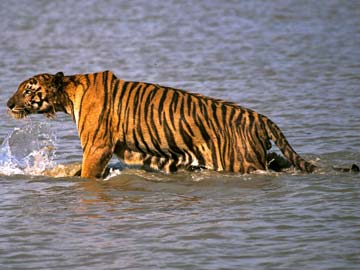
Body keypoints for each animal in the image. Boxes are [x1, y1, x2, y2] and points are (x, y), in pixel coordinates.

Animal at [5, 70, 320, 179]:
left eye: (28, 89)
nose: (7, 104)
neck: (68, 95)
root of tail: (260, 117)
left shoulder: (97, 146)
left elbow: (86, 174)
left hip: (240, 161)